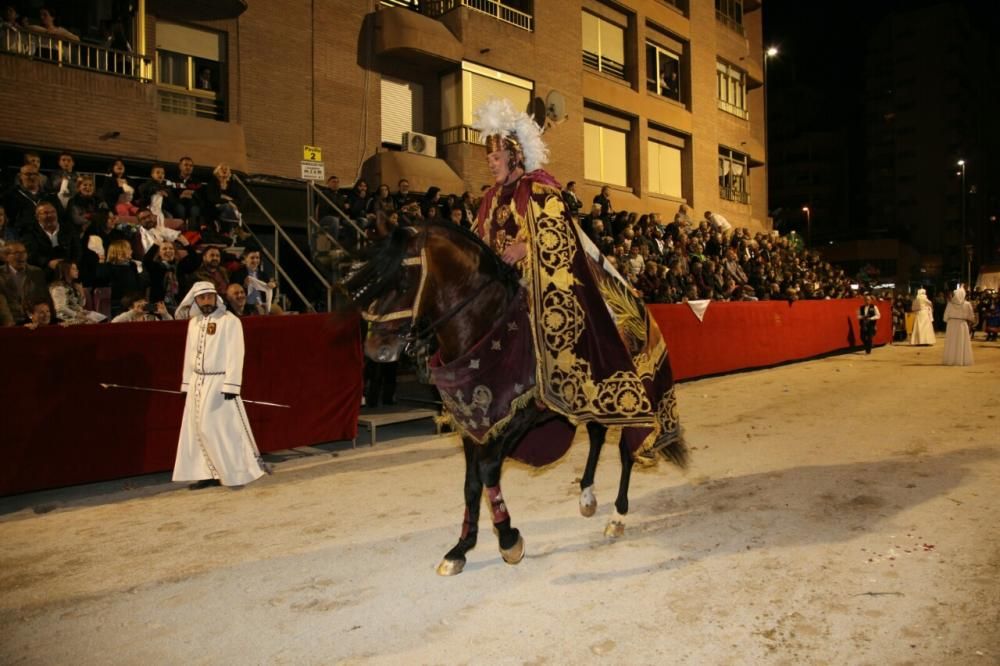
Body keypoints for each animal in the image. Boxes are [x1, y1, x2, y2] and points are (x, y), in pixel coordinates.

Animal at [344, 220, 688, 572]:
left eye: (401, 282)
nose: (376, 349)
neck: (489, 332)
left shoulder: (519, 416)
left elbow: (488, 470)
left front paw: (508, 538)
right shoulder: (472, 421)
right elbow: (470, 483)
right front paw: (461, 547)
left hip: (629, 399)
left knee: (625, 450)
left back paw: (617, 516)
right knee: (596, 435)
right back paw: (587, 496)